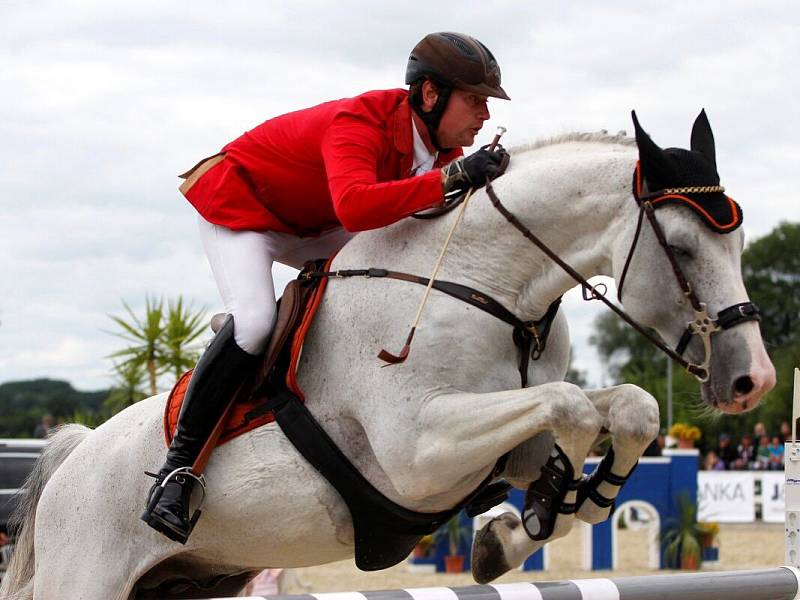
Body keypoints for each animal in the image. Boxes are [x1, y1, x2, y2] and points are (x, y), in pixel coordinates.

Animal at [0, 112, 776, 600]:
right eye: (682, 250)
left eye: (740, 243)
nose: (752, 380)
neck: (490, 288)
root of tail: (72, 457)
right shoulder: (418, 452)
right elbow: (572, 409)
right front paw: (546, 502)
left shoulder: (494, 433)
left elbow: (628, 407)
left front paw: (535, 519)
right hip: (87, 578)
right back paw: (170, 491)